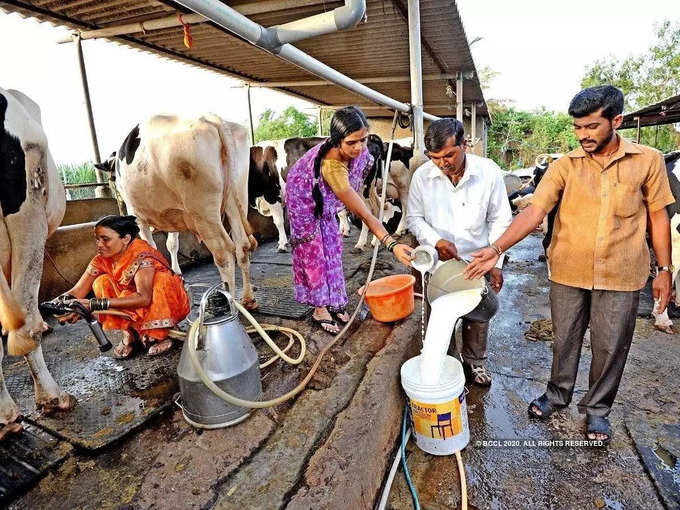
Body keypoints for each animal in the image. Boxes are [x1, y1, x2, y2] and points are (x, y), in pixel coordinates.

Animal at [99, 113, 260, 308]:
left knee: (223, 253)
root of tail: (211, 119)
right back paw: (248, 299)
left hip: (203, 212)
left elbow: (151, 247)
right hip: (237, 199)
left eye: (112, 178)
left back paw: (231, 302)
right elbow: (172, 244)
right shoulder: (174, 213)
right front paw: (176, 272)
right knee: (242, 245)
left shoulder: (138, 215)